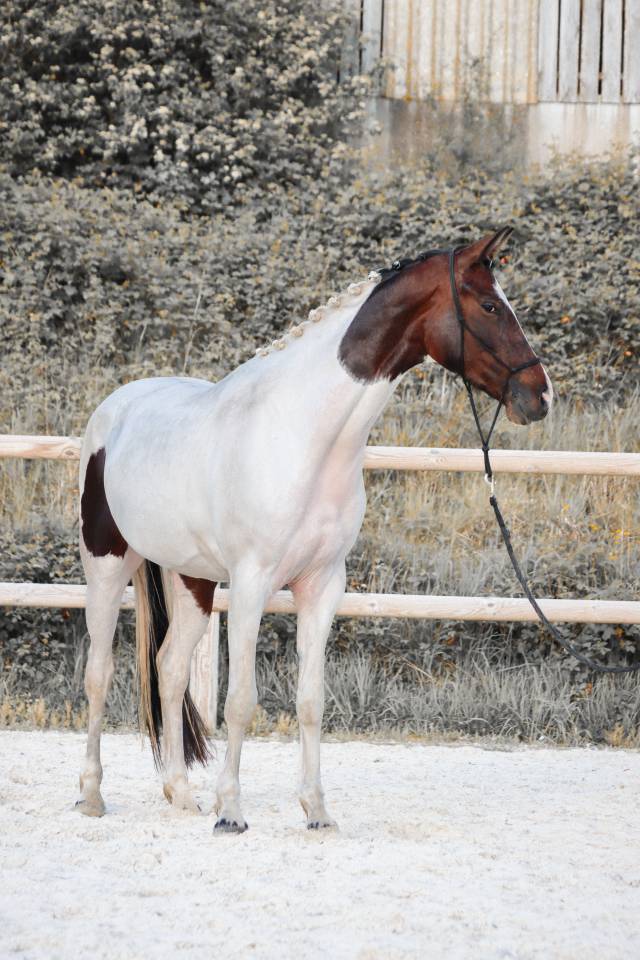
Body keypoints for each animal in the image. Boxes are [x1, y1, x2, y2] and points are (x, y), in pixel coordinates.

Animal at [77, 226, 552, 830]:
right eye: (490, 306)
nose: (540, 395)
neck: (304, 434)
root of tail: (115, 409)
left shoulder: (323, 585)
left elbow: (310, 701)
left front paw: (316, 810)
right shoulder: (251, 584)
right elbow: (241, 701)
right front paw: (231, 811)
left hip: (192, 579)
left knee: (170, 669)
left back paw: (182, 795)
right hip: (106, 566)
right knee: (99, 673)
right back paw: (92, 795)